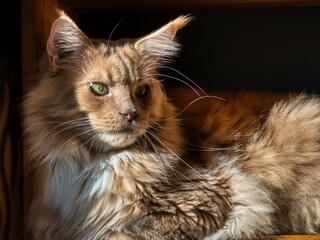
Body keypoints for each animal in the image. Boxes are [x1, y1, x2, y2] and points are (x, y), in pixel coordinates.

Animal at [23, 11, 320, 240]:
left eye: (142, 91)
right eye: (99, 89)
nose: (130, 114)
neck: (94, 163)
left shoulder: (206, 199)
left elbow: (119, 233)